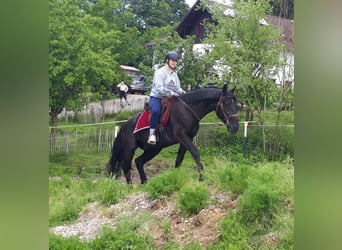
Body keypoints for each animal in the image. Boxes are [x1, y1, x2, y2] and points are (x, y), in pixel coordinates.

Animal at [107, 84, 238, 184]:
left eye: (235, 104)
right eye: (226, 103)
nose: (235, 127)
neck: (187, 110)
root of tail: (126, 125)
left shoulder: (187, 139)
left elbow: (179, 159)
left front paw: (176, 176)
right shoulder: (183, 137)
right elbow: (195, 153)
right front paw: (201, 177)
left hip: (154, 149)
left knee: (139, 162)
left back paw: (145, 182)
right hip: (130, 149)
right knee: (126, 168)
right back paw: (130, 187)